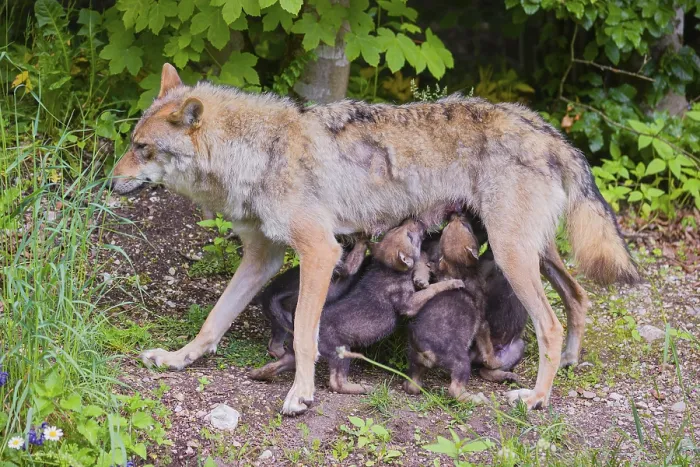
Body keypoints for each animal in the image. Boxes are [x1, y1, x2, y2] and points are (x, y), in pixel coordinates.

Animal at [111, 63, 639, 414]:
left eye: (143, 148)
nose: (108, 181)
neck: (259, 152)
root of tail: (547, 129)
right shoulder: (263, 258)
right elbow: (212, 322)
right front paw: (177, 359)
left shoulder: (320, 251)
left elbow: (305, 334)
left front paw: (300, 394)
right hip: (534, 254)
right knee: (579, 297)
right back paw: (569, 363)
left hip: (514, 257)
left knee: (551, 324)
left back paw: (536, 397)